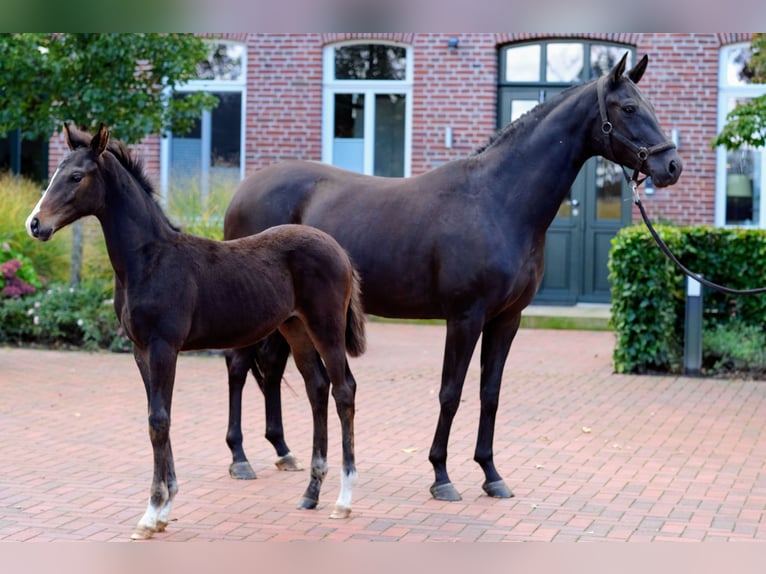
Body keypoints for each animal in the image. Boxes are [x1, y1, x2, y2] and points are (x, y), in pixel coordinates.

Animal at [25, 125, 368, 540]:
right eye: (55, 173)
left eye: (76, 176)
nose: (35, 224)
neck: (148, 260)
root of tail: (339, 249)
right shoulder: (141, 350)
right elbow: (157, 416)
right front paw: (163, 511)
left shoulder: (164, 347)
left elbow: (159, 420)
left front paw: (151, 513)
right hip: (296, 328)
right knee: (317, 387)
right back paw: (311, 493)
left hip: (326, 327)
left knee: (344, 390)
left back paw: (343, 500)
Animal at [222, 54, 684, 504]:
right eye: (629, 108)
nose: (671, 166)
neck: (499, 201)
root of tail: (242, 190)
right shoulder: (465, 317)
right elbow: (451, 392)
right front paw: (441, 476)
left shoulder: (507, 319)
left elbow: (489, 393)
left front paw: (491, 474)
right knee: (239, 365)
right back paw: (240, 457)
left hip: (292, 315)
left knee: (271, 365)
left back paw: (282, 451)